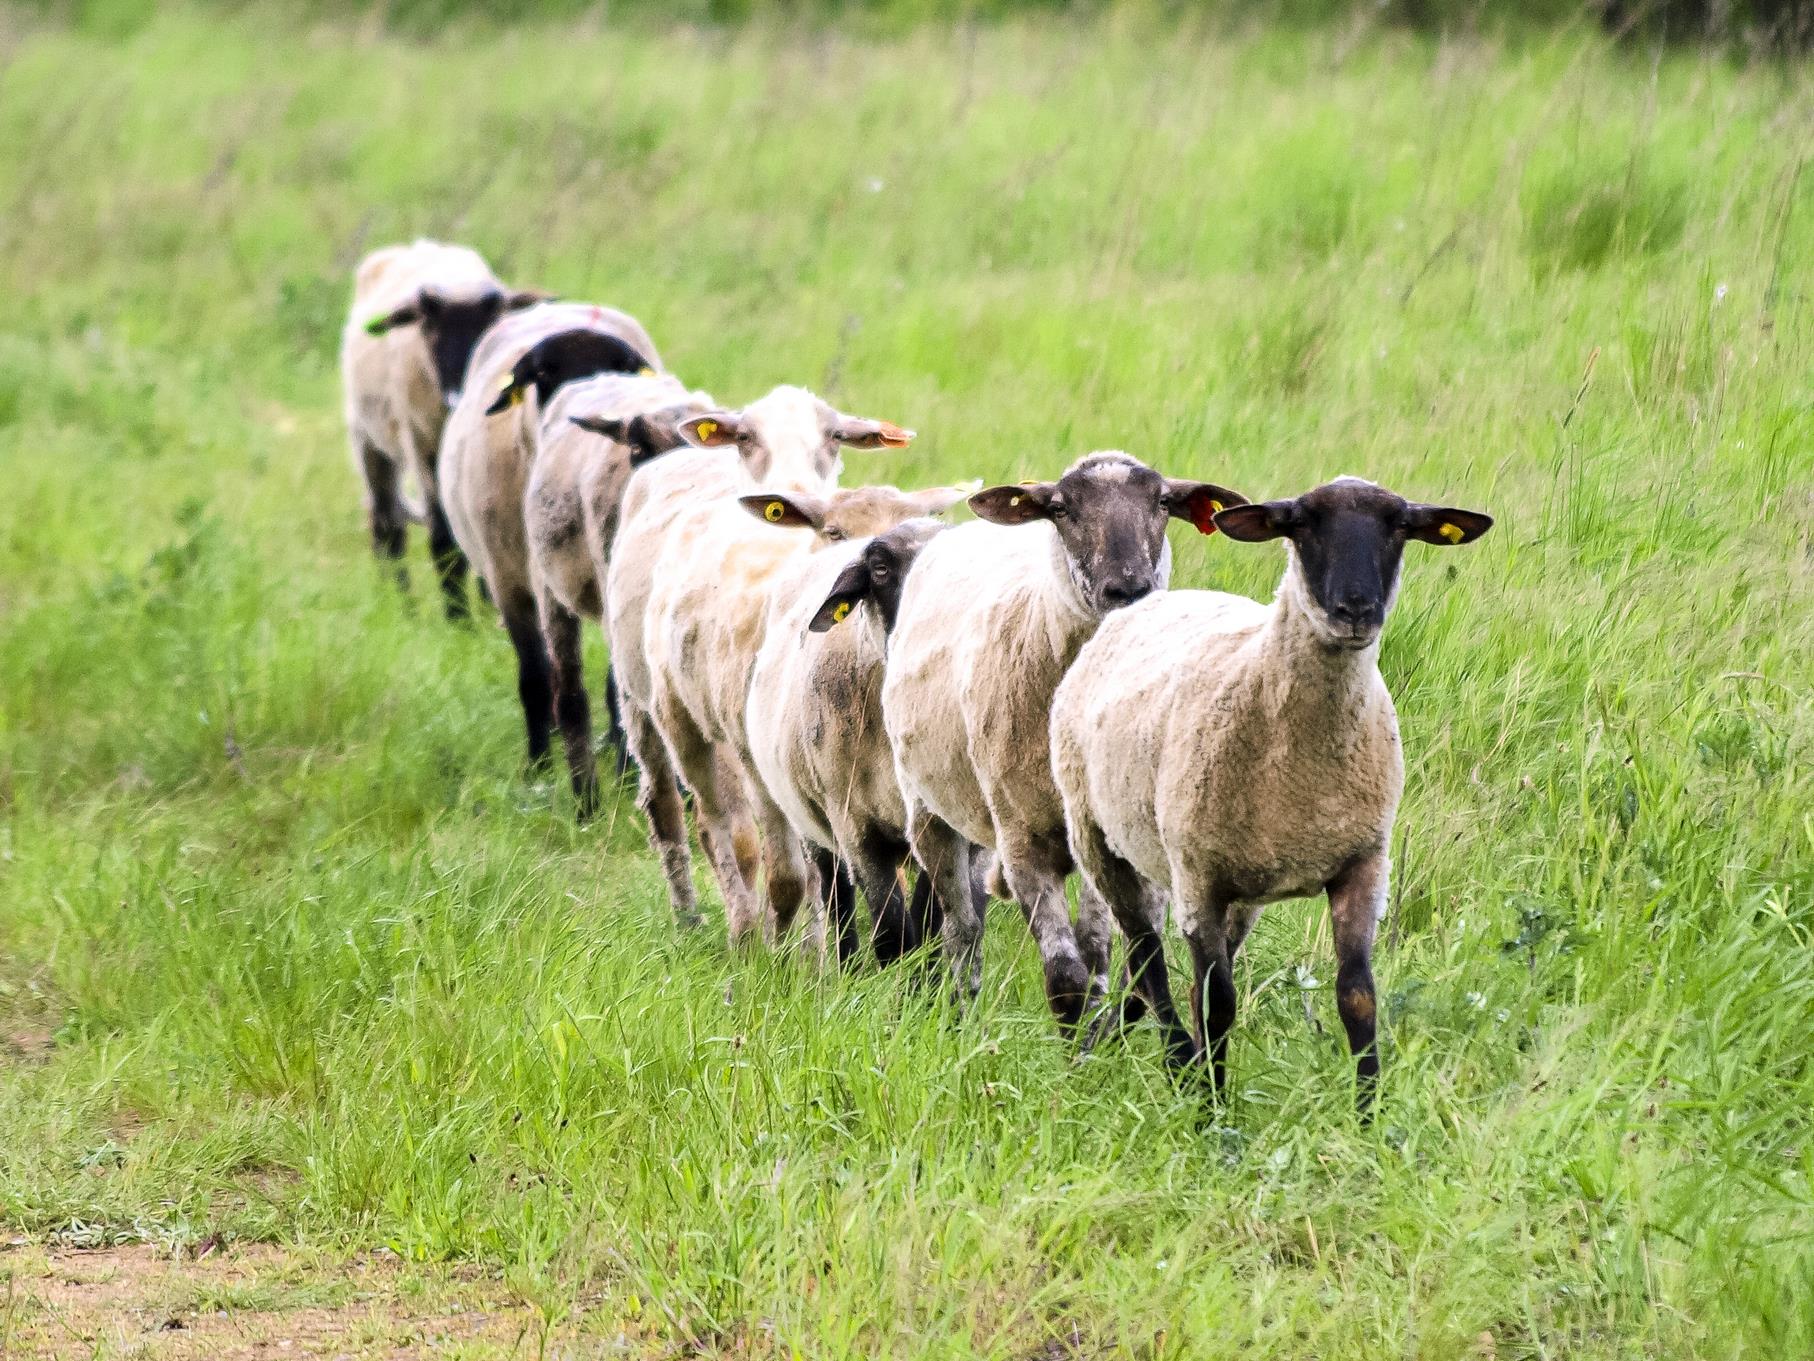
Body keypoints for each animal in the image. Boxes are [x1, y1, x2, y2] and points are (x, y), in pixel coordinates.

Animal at [337, 237, 540, 613]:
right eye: (429, 325)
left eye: (490, 322)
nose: (455, 395)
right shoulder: (421, 442)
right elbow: (443, 538)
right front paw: (458, 617)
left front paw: (486, 610)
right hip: (367, 440)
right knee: (386, 524)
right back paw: (401, 606)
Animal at [605, 386, 914, 936]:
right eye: (746, 437)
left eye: (835, 437)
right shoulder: (754, 750)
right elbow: (777, 864)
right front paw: (772, 944)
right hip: (655, 707)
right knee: (685, 815)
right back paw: (714, 923)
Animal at [877, 453, 1248, 1030]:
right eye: (1059, 509)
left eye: (1164, 502)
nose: (1128, 590)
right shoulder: (1022, 839)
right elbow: (1067, 980)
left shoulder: (1107, 840)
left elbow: (1099, 956)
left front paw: (1098, 1040)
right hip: (931, 812)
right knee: (962, 932)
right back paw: (961, 1014)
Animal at [1044, 479, 1494, 1110]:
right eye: (1300, 524)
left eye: (1402, 527)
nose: (1357, 611)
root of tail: (1142, 603)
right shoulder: (1199, 877)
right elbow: (1219, 1004)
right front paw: (1211, 1115)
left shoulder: (1362, 865)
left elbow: (1357, 996)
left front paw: (1368, 1115)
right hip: (1099, 840)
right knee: (1148, 960)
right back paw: (1178, 1064)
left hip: (1242, 887)